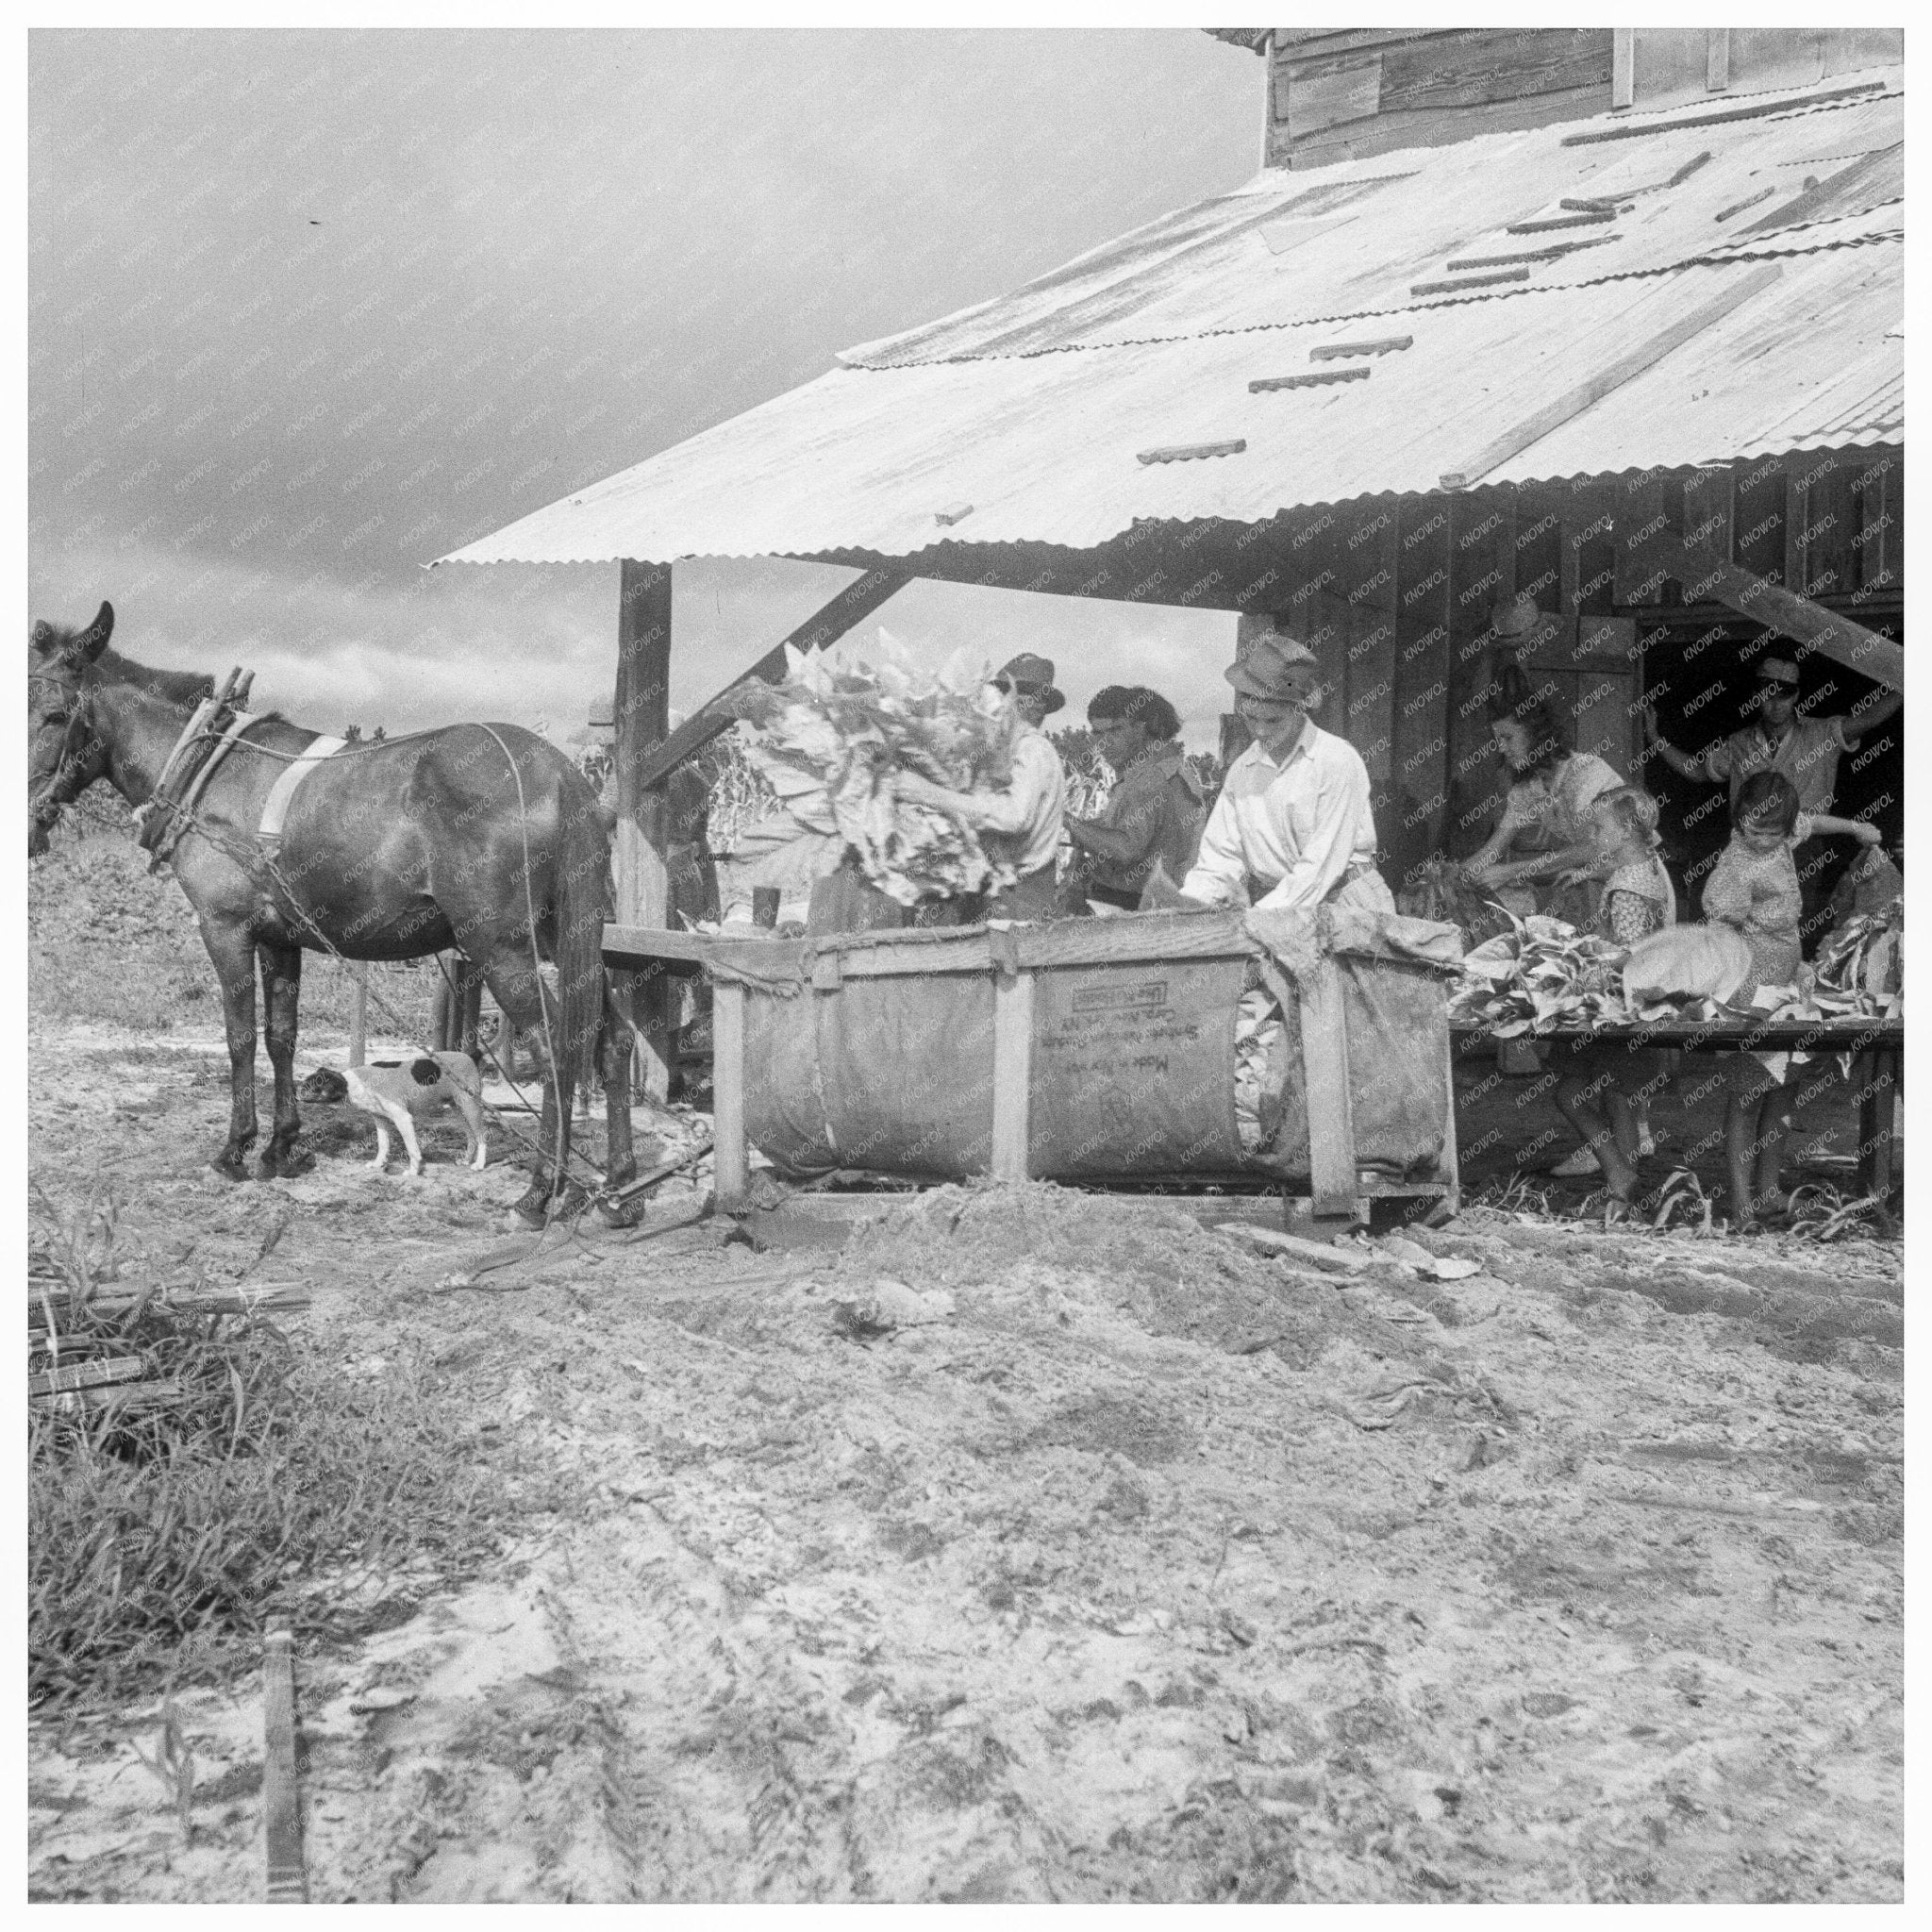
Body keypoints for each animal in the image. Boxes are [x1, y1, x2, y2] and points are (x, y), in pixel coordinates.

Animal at [27, 602, 633, 1221]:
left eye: (54, 713)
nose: (28, 826)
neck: (206, 768)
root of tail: (561, 774)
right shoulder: (279, 937)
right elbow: (281, 1037)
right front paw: (282, 1146)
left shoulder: (225, 928)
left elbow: (240, 1036)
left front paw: (236, 1148)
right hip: (567, 937)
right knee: (612, 1041)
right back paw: (619, 1181)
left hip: (500, 947)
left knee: (557, 1046)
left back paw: (541, 1188)